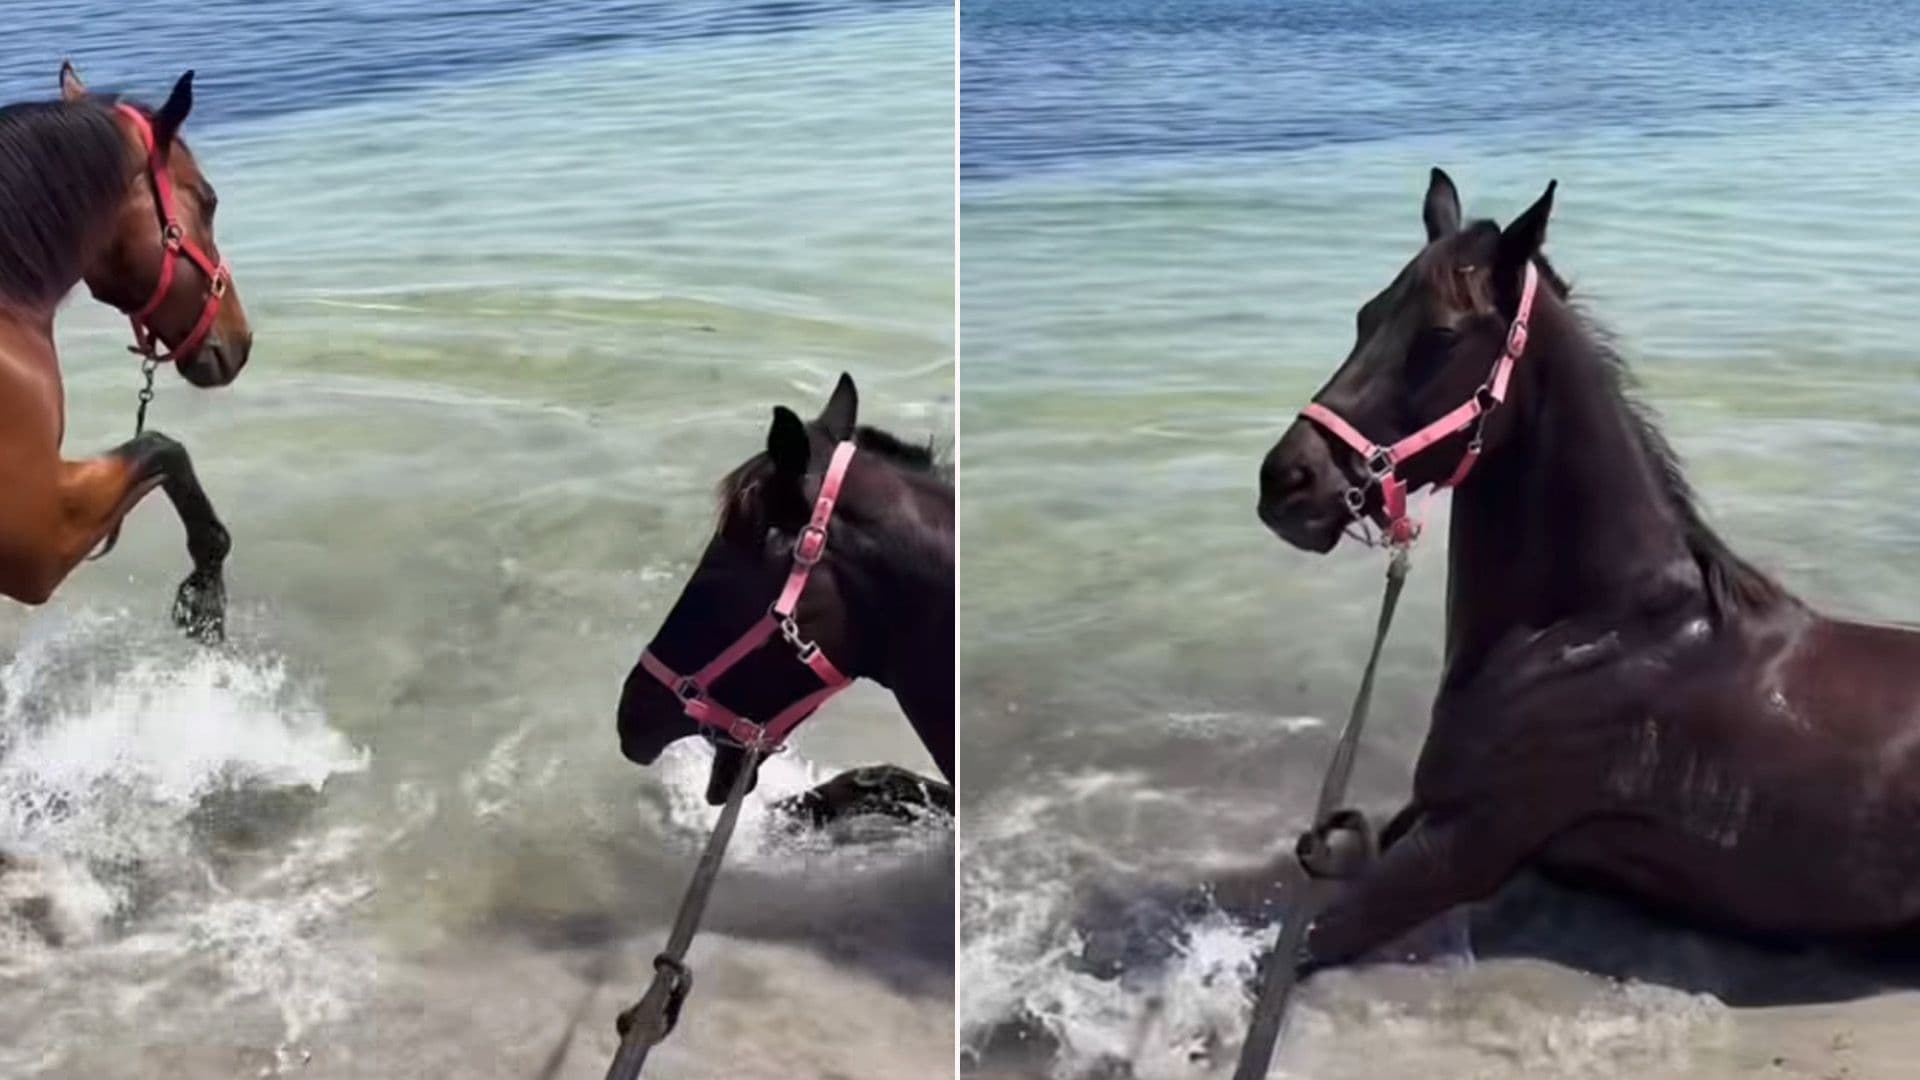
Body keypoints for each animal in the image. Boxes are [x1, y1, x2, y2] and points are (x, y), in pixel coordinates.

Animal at [1256, 167, 1920, 978]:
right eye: (1365, 316)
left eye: (1440, 335)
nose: (1286, 481)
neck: (1601, 630)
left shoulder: (1467, 846)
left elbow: (1291, 951)